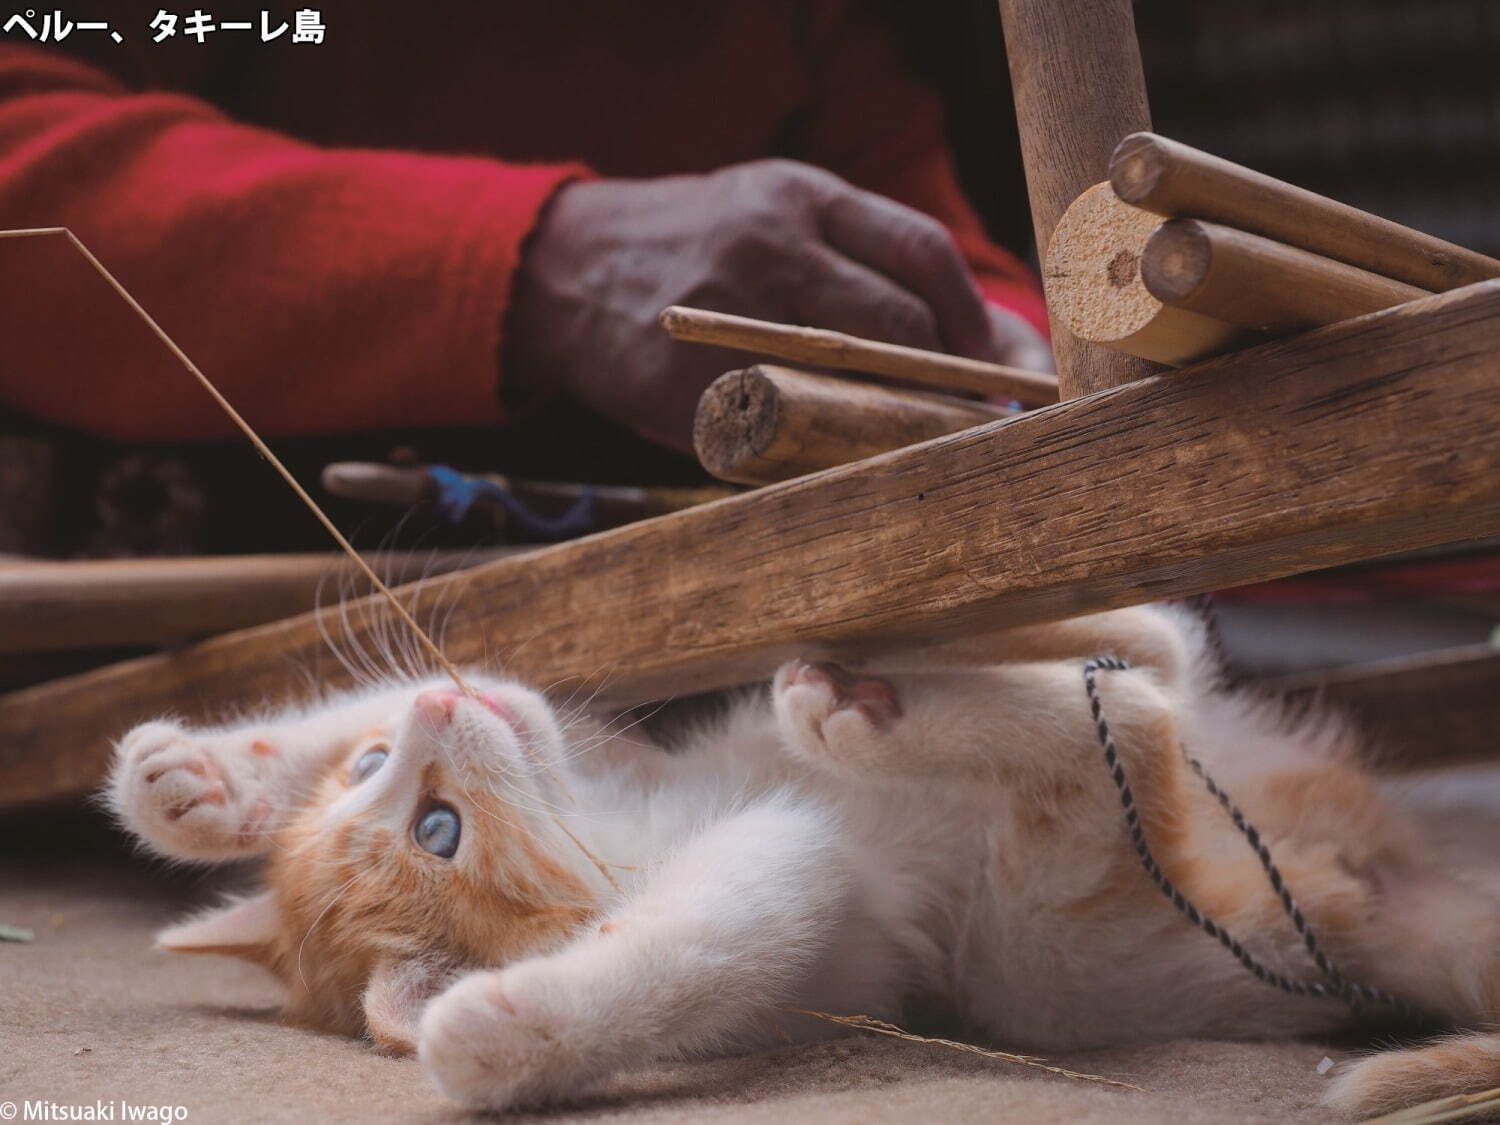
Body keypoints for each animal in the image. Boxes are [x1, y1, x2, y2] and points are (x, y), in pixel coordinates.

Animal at [111, 609, 1500, 1122]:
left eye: (387, 781)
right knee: (1140, 731)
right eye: (436, 832)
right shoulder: (802, 879)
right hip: (1057, 955)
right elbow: (710, 938)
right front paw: (511, 1032)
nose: (444, 713)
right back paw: (874, 713)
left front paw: (195, 782)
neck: (626, 820)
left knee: (1159, 663)